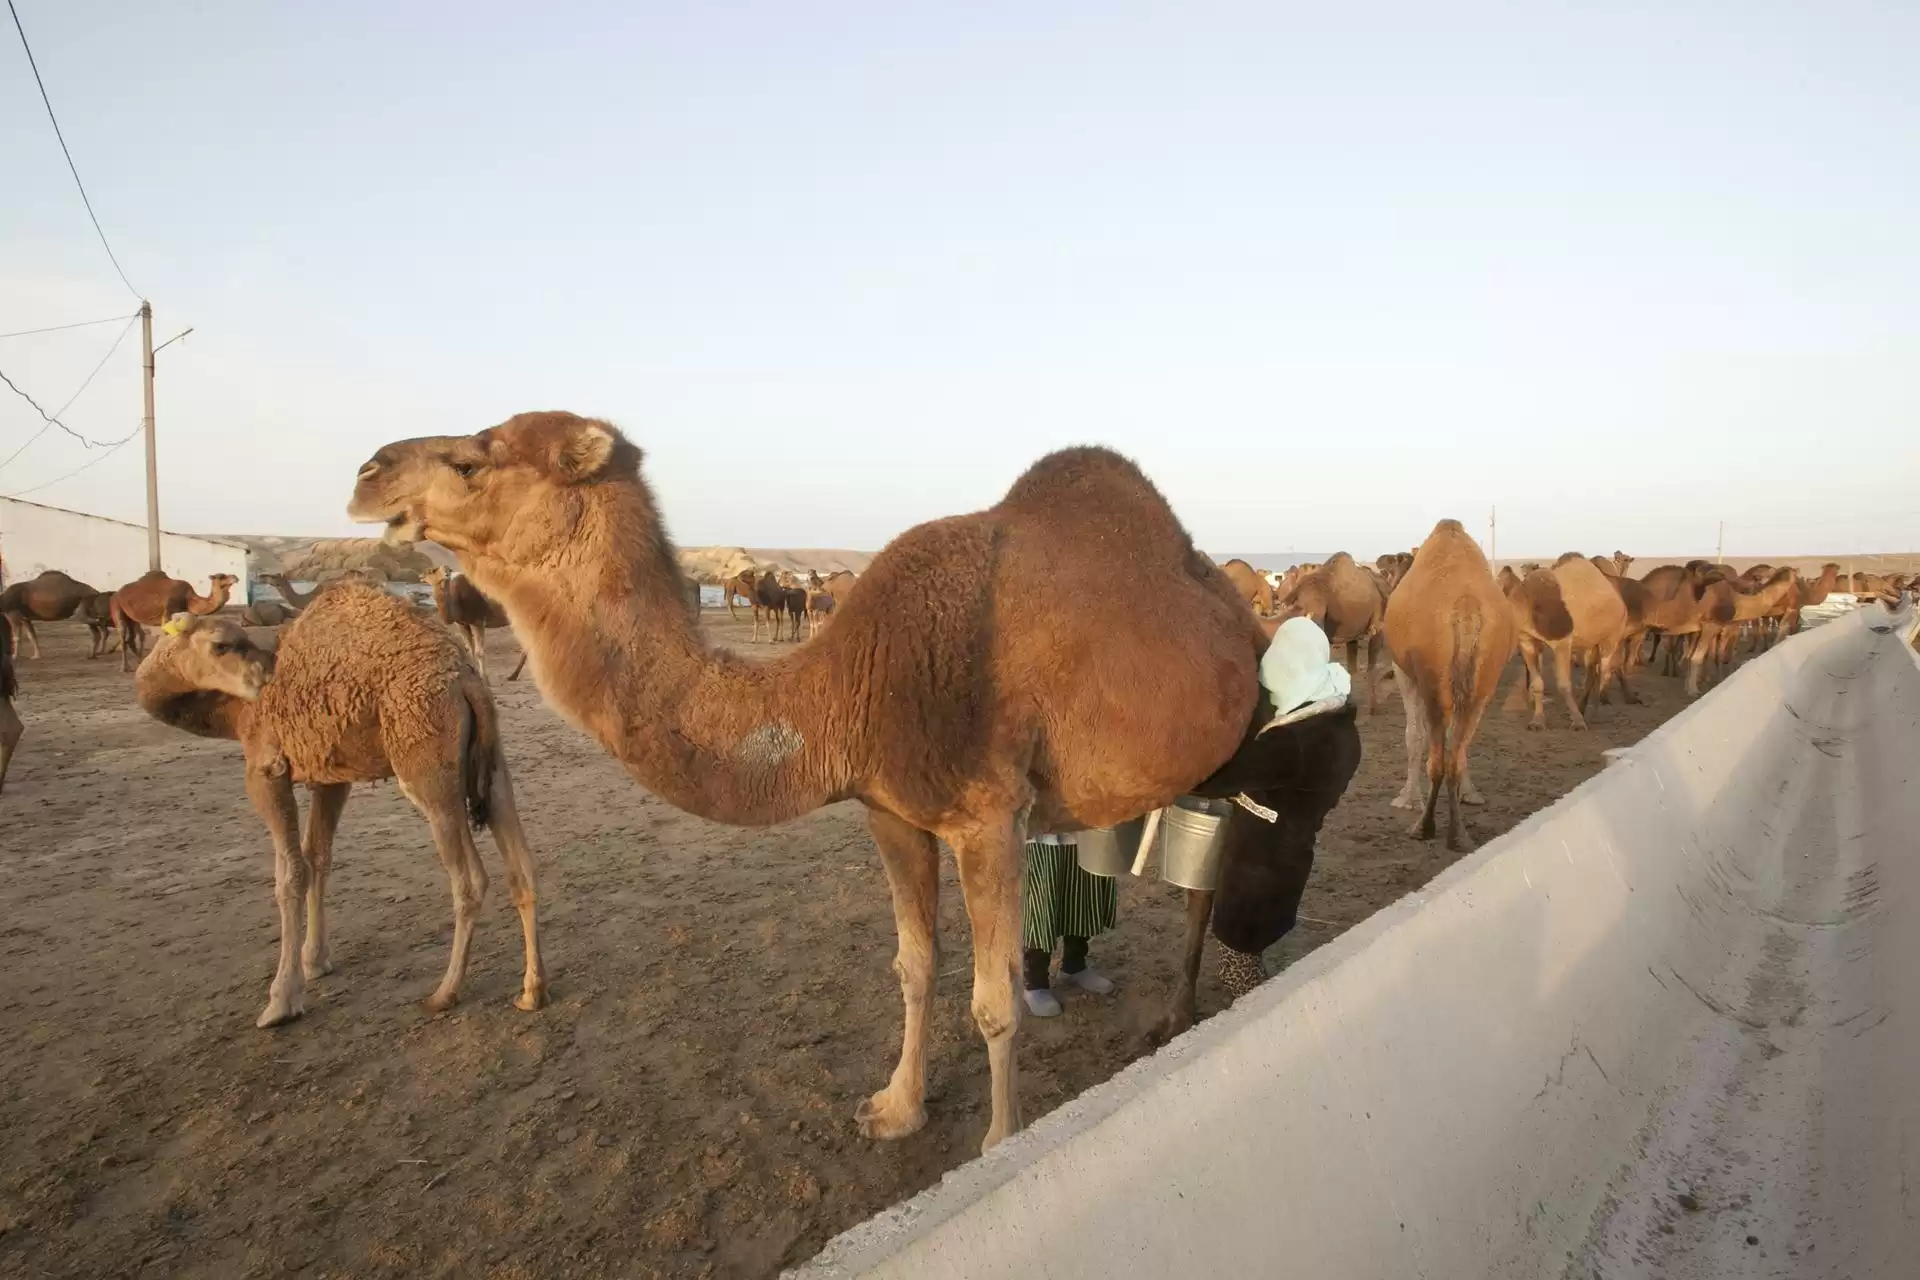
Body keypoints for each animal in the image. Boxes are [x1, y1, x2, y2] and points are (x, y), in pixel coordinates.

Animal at [133, 585, 547, 1026]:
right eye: (222, 644)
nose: (263, 681)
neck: (231, 713)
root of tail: (468, 681)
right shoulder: (332, 777)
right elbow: (318, 857)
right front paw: (315, 961)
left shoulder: (265, 768)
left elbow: (291, 873)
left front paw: (281, 1000)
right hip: (490, 763)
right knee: (521, 865)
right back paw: (531, 991)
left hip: (427, 766)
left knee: (470, 880)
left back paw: (444, 993)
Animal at [349, 411, 1264, 1153]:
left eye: (477, 457)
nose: (367, 473)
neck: (846, 688)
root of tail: (1232, 603)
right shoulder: (889, 810)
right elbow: (914, 965)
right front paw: (896, 1109)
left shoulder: (988, 817)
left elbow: (994, 999)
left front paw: (1000, 1143)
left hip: (1244, 734)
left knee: (1215, 877)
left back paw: (1185, 1010)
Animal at [1384, 520, 1515, 852]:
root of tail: (1466, 607)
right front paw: (1470, 794)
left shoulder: (1405, 673)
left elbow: (1412, 736)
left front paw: (1407, 799)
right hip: (1484, 676)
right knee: (1458, 747)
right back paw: (1459, 834)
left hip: (1433, 679)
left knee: (1438, 756)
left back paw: (1425, 827)